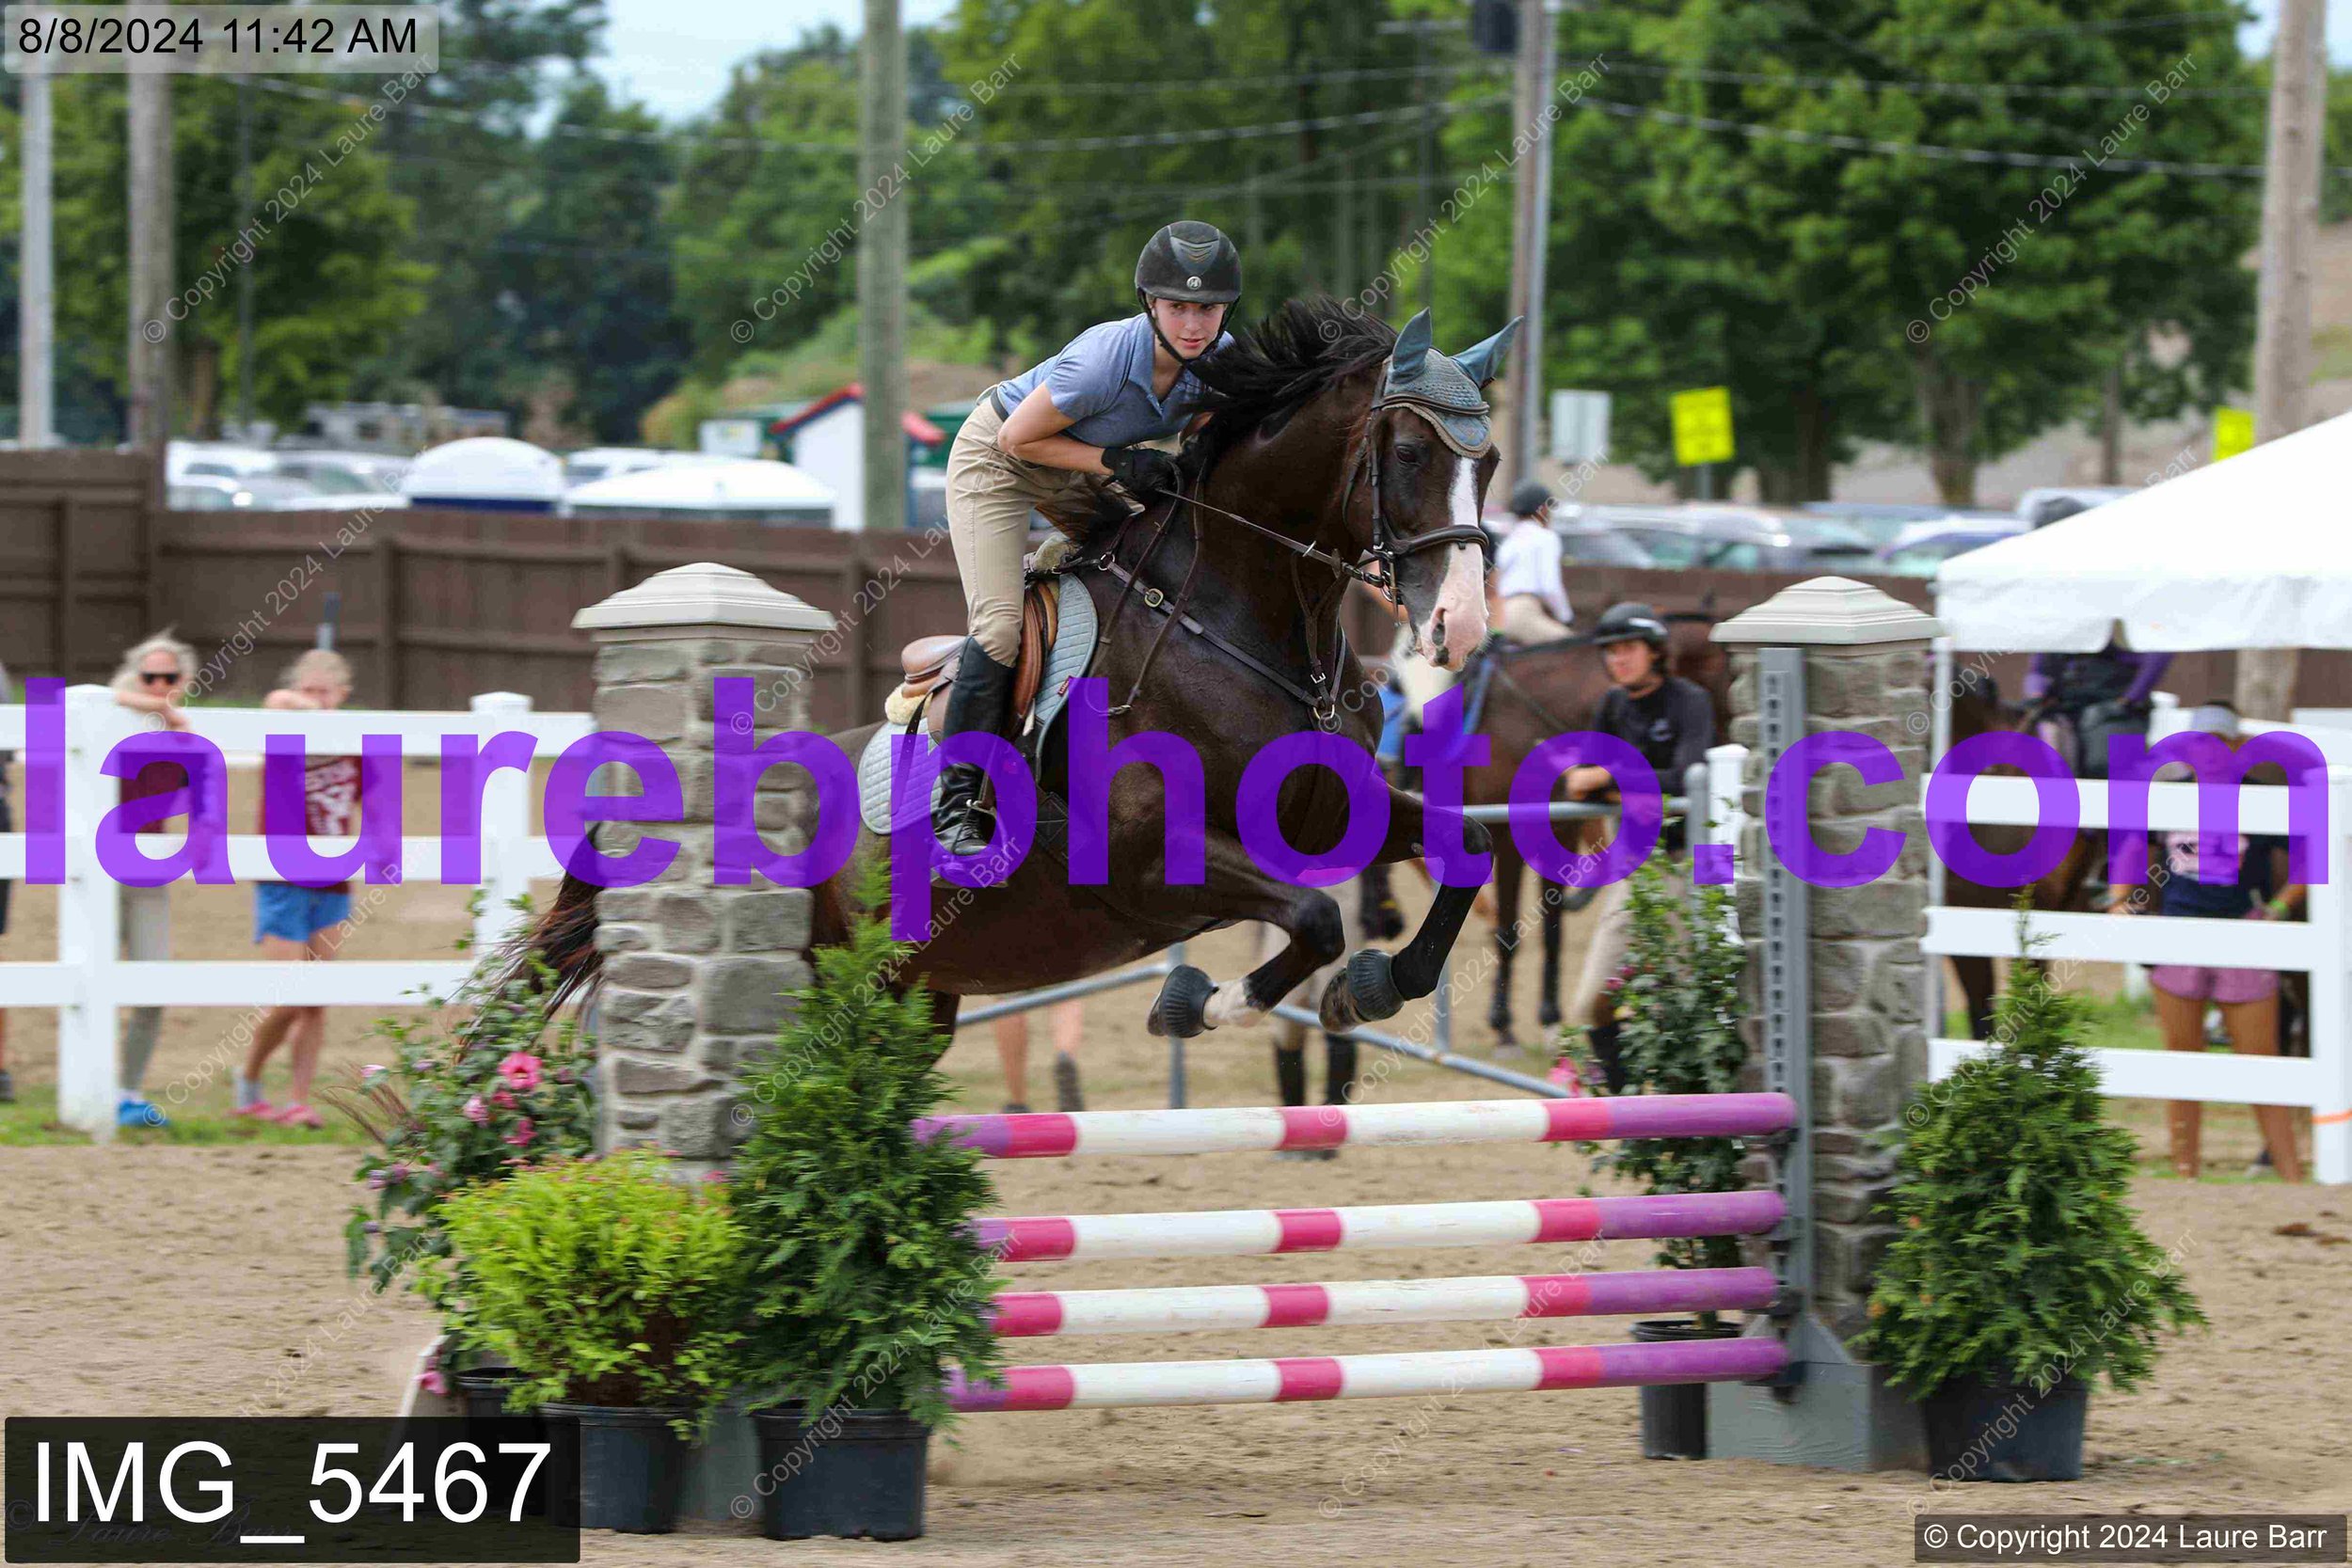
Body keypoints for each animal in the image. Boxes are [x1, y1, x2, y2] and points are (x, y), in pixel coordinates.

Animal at [514, 297, 1522, 1050]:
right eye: (1408, 453)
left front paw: (1375, 986)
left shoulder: (1334, 815)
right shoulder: (1148, 861)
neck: (1249, 625)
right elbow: (1314, 919)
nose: (1460, 624)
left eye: (1492, 461)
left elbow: (1468, 848)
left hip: (912, 994)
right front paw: (1196, 1002)